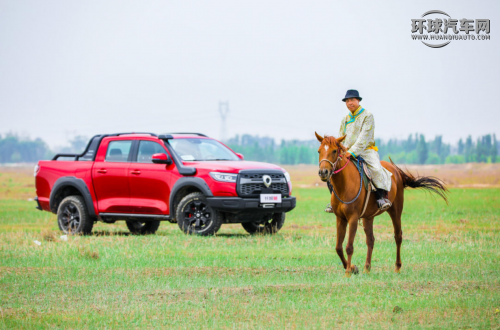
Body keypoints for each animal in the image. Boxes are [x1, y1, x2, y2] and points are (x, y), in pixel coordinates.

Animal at [314, 133, 448, 274]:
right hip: (368, 217)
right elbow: (338, 247)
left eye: (334, 151)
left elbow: (349, 247)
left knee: (398, 236)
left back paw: (397, 267)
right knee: (370, 240)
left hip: (395, 211)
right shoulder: (340, 218)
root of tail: (397, 172)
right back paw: (367, 268)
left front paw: (348, 272)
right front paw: (352, 268)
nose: (323, 172)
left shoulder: (353, 218)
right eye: (319, 151)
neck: (344, 186)